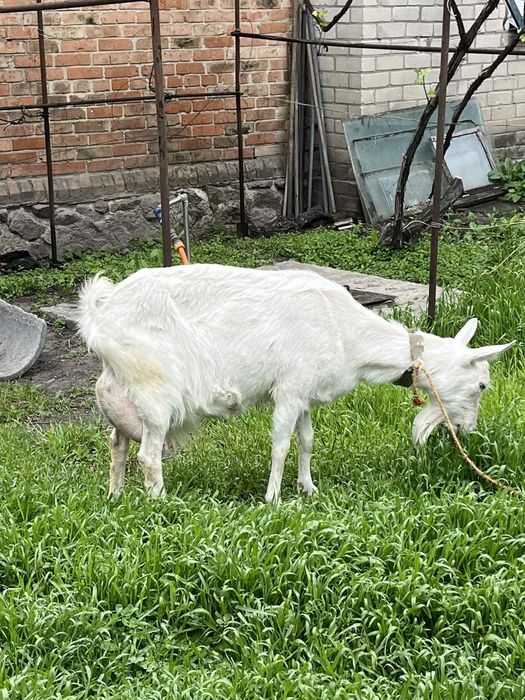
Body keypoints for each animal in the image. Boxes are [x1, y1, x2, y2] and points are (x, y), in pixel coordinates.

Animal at [77, 263, 515, 501]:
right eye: (482, 386)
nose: (468, 430)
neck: (345, 331)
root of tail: (100, 314)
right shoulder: (288, 391)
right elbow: (281, 446)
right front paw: (272, 498)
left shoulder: (305, 394)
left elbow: (306, 442)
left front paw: (309, 489)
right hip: (155, 393)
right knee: (149, 455)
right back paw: (161, 501)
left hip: (121, 393)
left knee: (116, 444)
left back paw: (116, 495)